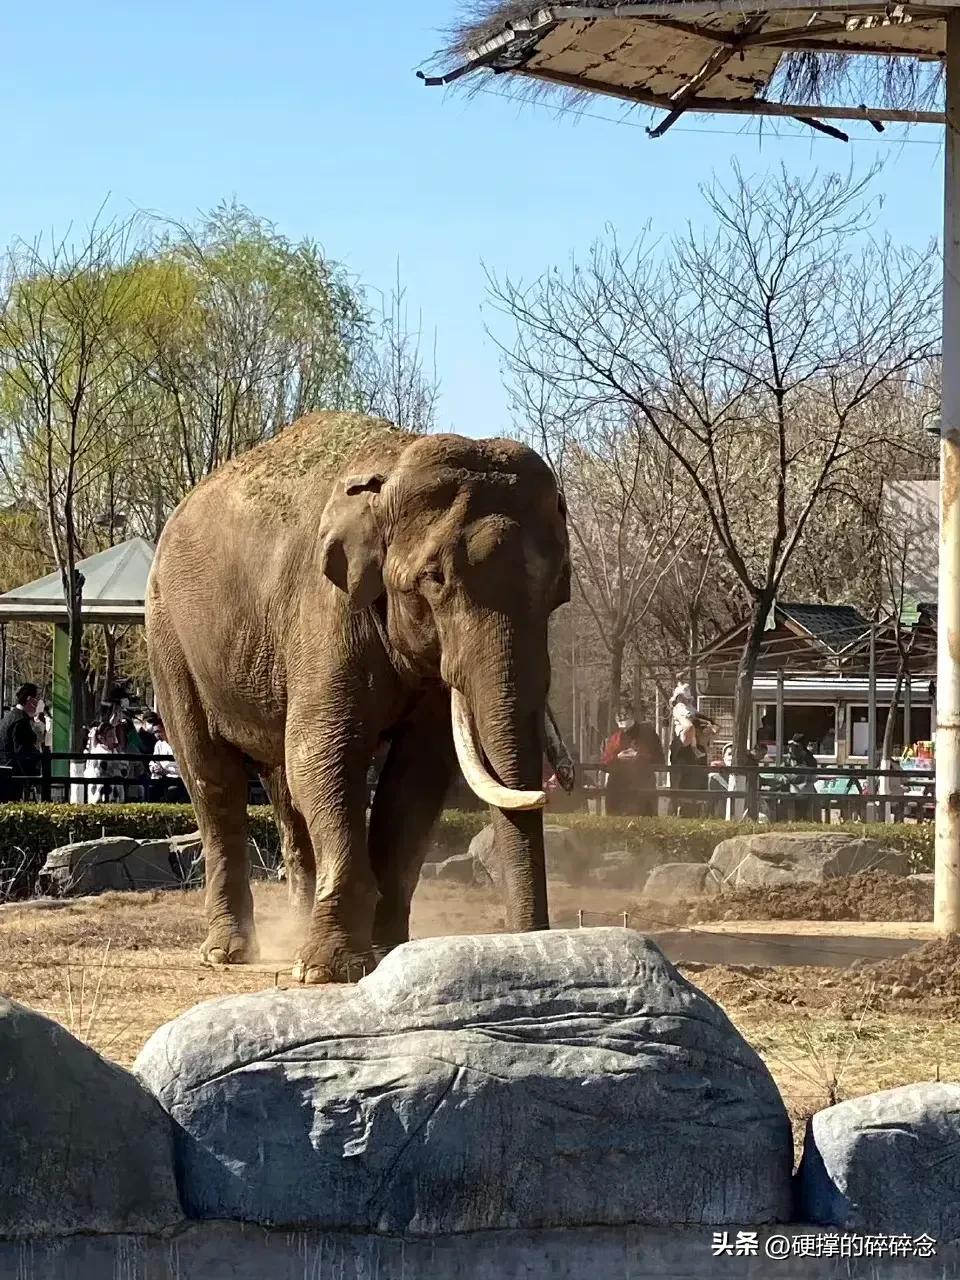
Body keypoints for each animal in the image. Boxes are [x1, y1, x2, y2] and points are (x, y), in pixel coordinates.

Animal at [144, 409, 570, 977]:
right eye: (434, 578)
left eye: (560, 587)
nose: (535, 943)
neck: (393, 467)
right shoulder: (325, 609)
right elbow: (326, 755)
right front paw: (326, 969)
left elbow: (418, 776)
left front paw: (387, 952)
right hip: (169, 637)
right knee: (212, 779)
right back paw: (227, 952)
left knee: (283, 789)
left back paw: (294, 934)